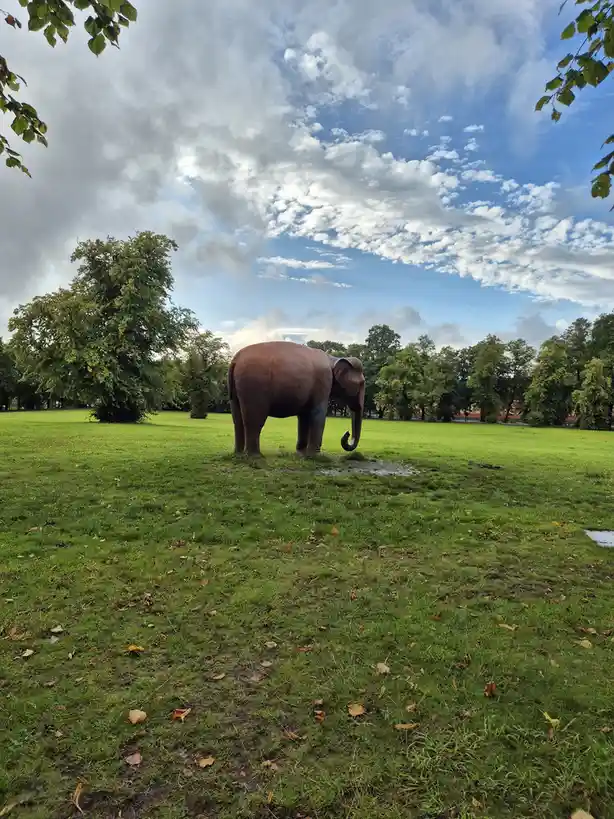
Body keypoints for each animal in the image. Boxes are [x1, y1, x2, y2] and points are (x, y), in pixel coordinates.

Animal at [227, 340, 365, 457]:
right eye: (362, 383)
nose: (347, 433)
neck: (332, 358)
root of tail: (235, 359)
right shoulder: (324, 382)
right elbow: (318, 415)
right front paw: (314, 456)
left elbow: (304, 417)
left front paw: (301, 454)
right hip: (254, 388)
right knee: (254, 421)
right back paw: (255, 456)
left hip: (236, 391)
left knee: (237, 420)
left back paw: (238, 454)